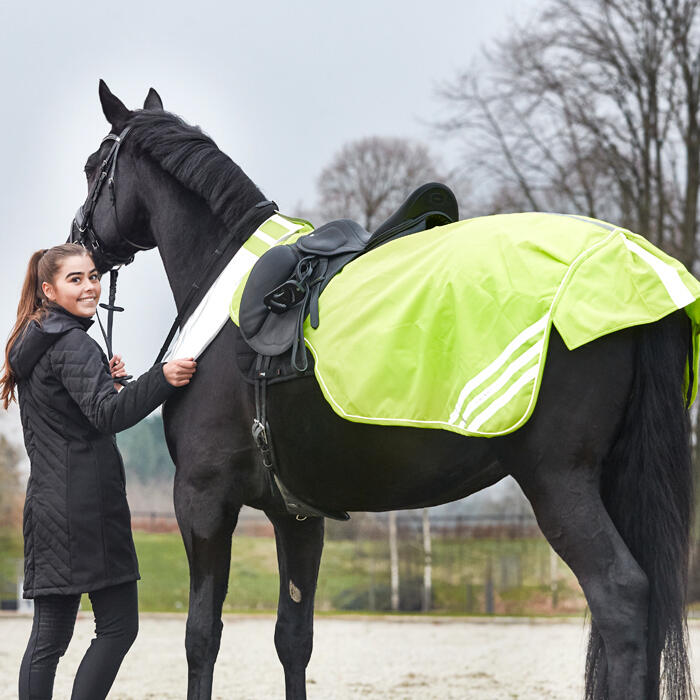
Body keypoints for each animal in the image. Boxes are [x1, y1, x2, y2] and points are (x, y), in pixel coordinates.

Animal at [71, 82, 696, 700]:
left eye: (92, 166)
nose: (80, 242)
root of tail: (634, 261)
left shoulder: (203, 500)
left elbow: (202, 636)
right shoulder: (297, 515)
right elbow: (292, 638)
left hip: (560, 481)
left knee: (620, 598)